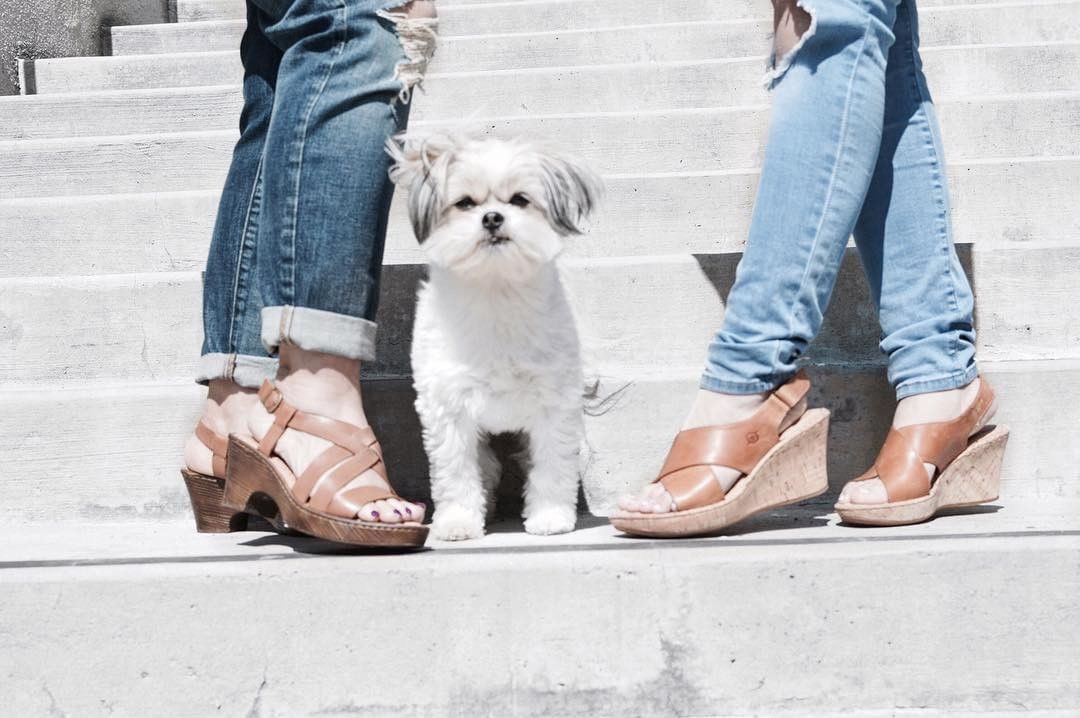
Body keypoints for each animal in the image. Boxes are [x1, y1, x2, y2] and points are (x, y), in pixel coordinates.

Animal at [386, 132, 600, 537]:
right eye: (465, 203)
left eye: (519, 199)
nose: (492, 217)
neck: (495, 288)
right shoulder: (448, 408)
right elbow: (455, 472)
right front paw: (457, 520)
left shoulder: (553, 403)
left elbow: (552, 463)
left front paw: (550, 515)